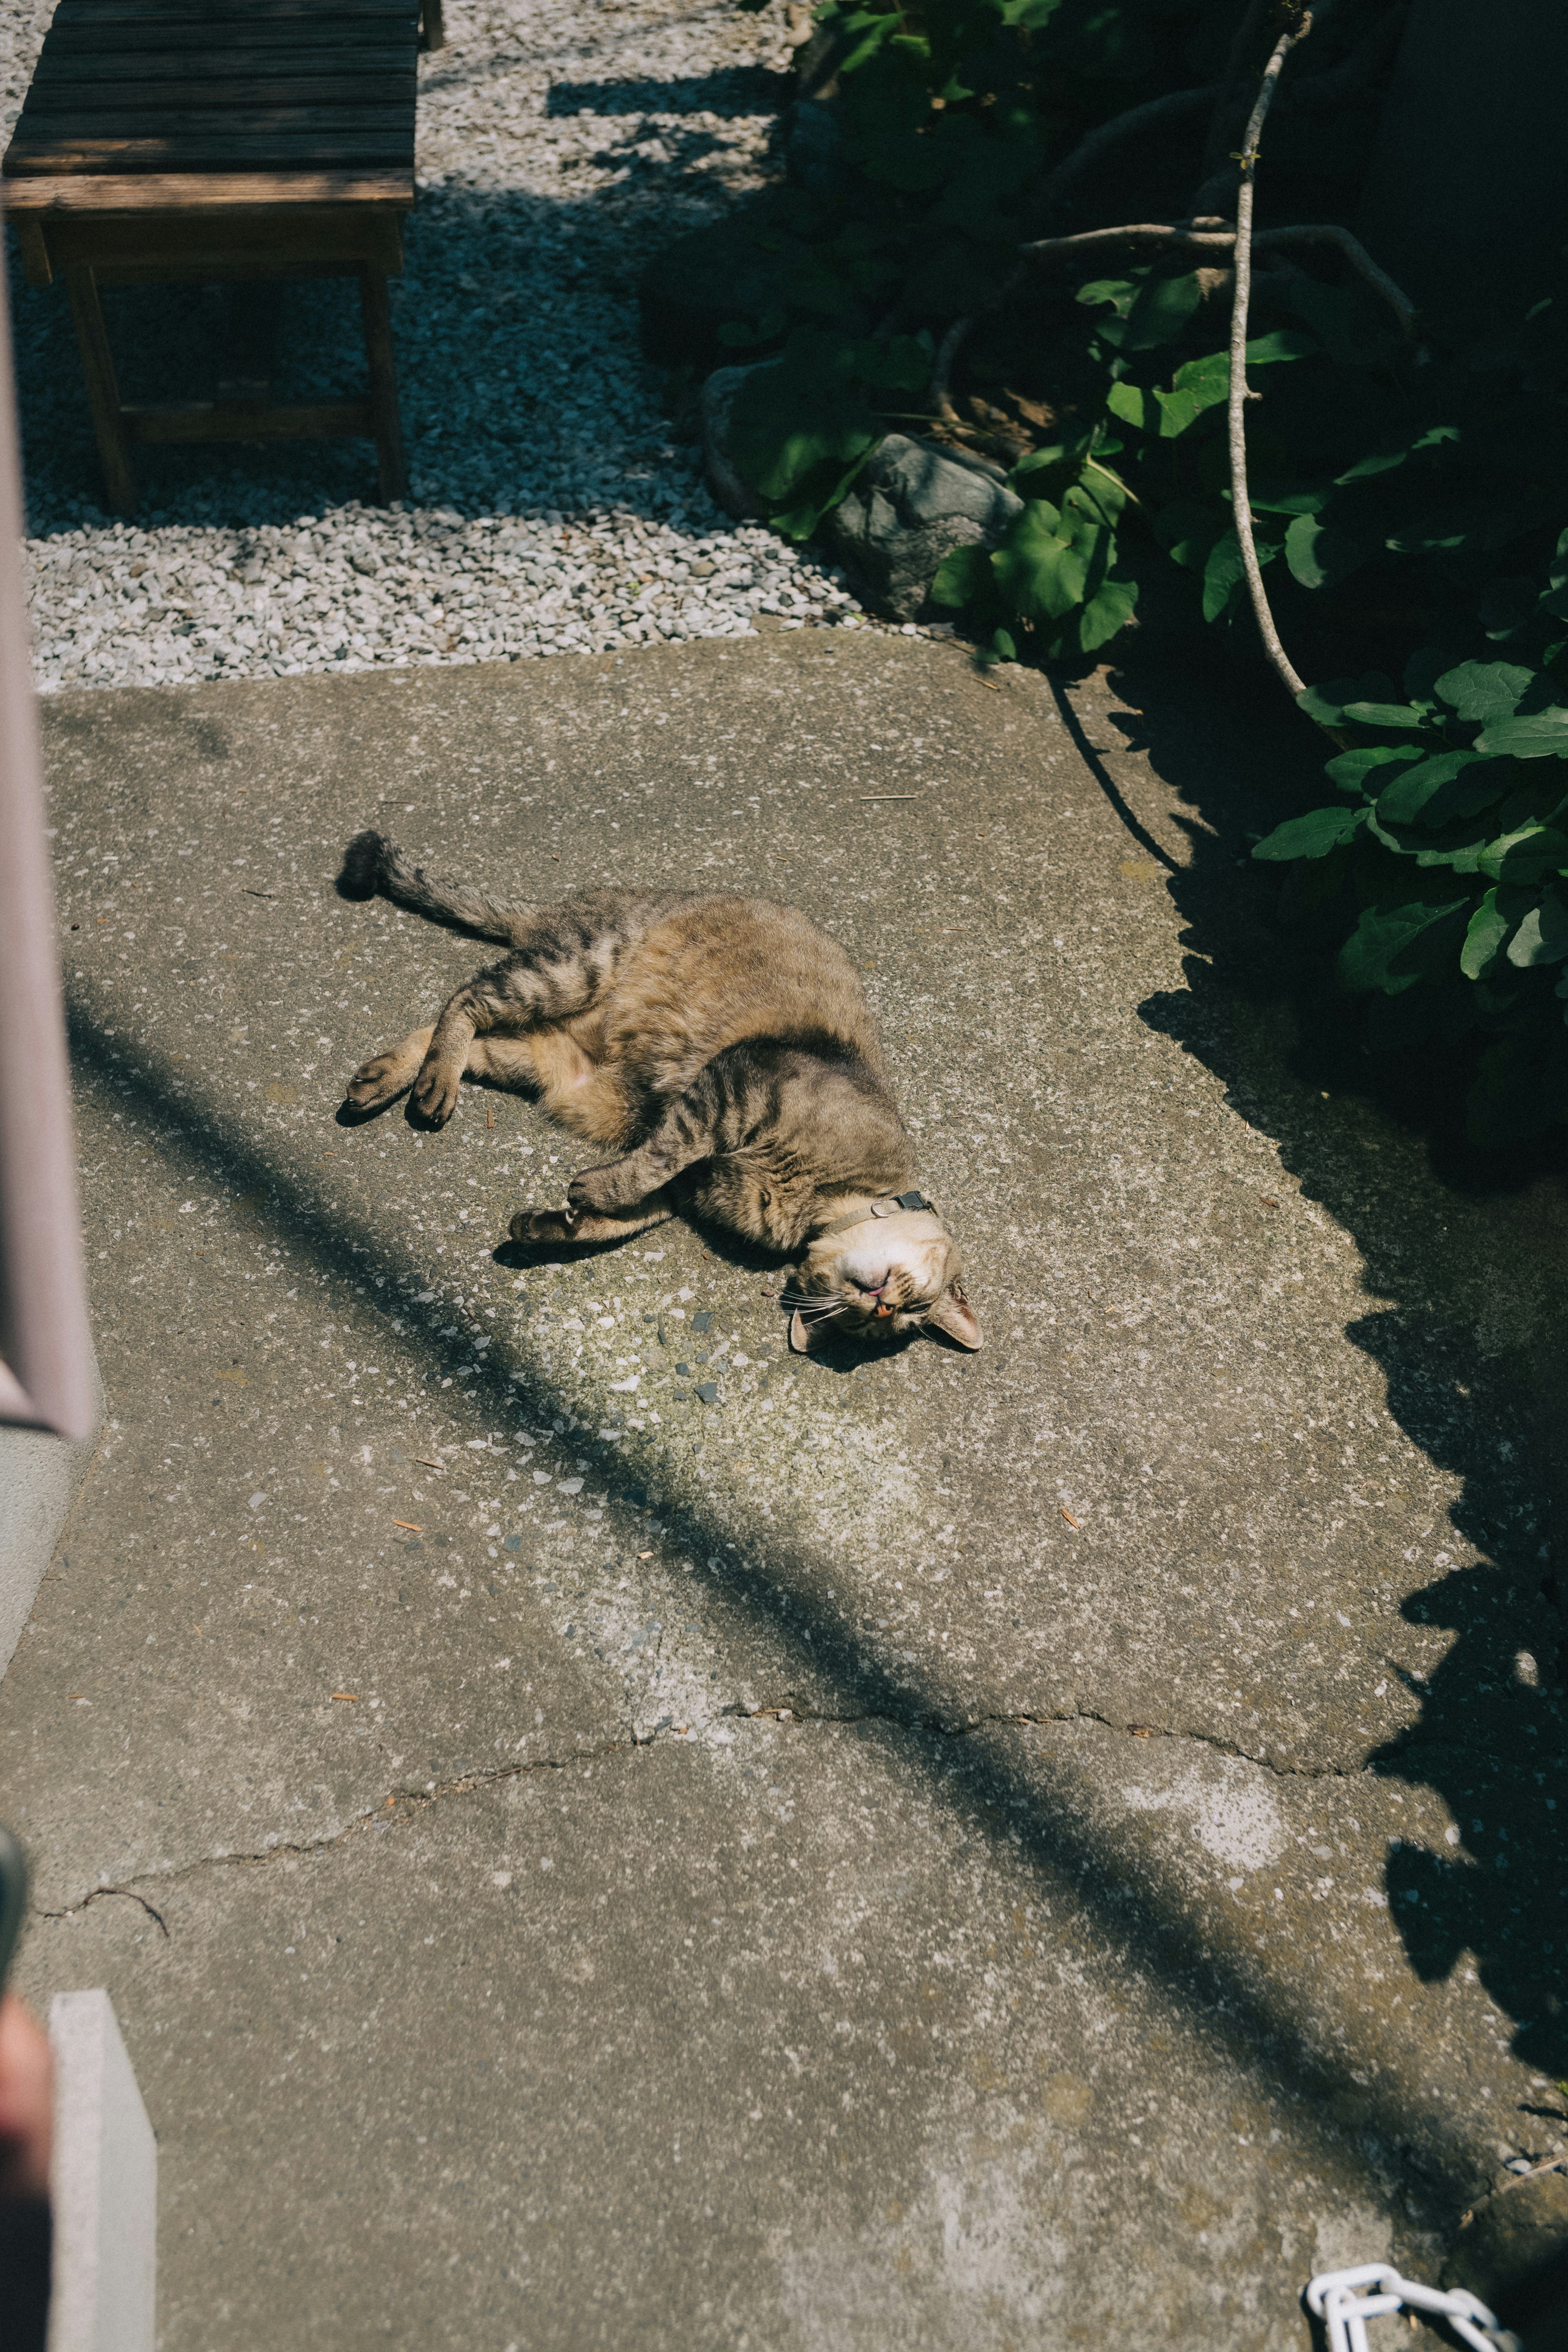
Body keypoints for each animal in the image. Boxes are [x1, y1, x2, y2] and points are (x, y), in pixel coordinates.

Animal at [339, 828, 982, 1354]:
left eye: (873, 1324)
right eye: (916, 1302)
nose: (882, 1306)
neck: (812, 1205)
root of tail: (564, 904)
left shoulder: (687, 1185)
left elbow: (620, 1216)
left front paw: (553, 1224)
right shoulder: (730, 1089)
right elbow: (654, 1161)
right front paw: (590, 1190)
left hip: (542, 1057)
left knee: (450, 1032)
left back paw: (388, 1079)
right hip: (573, 968)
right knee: (465, 998)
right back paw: (429, 1090)